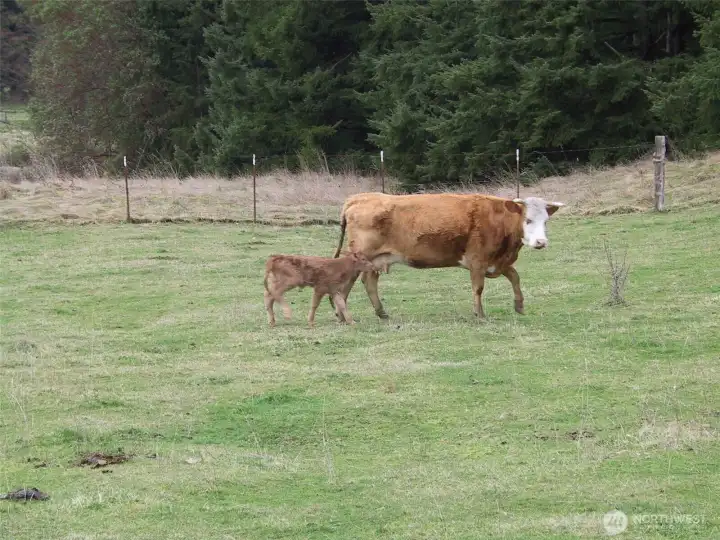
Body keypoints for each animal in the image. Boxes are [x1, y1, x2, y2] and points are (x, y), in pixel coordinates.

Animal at [329, 193, 565, 320]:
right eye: (528, 220)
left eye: (545, 221)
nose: (541, 242)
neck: (498, 220)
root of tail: (359, 198)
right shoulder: (478, 261)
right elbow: (478, 288)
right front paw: (479, 314)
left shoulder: (498, 262)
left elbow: (515, 277)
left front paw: (519, 305)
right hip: (360, 256)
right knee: (349, 282)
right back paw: (342, 314)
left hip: (376, 259)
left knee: (370, 282)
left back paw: (380, 312)